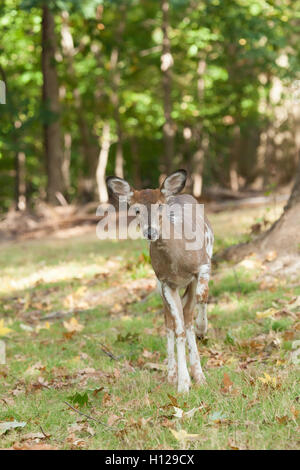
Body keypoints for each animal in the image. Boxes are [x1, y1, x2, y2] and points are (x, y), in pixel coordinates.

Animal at [105, 169, 213, 392]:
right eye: (136, 210)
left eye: (160, 206)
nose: (150, 232)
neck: (177, 261)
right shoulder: (165, 282)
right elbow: (177, 328)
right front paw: (183, 384)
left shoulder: (203, 265)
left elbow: (201, 298)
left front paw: (202, 328)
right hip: (159, 285)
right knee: (170, 321)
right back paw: (175, 375)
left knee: (189, 312)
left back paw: (199, 373)